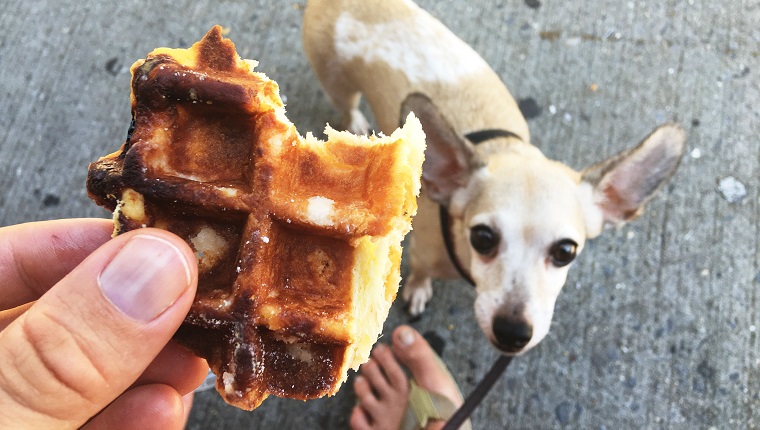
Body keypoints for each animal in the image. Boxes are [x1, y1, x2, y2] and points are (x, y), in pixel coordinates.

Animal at [302, 0, 684, 356]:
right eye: (482, 238)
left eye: (565, 252)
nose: (512, 332)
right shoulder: (424, 256)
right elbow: (421, 273)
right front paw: (418, 289)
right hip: (337, 84)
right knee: (347, 104)